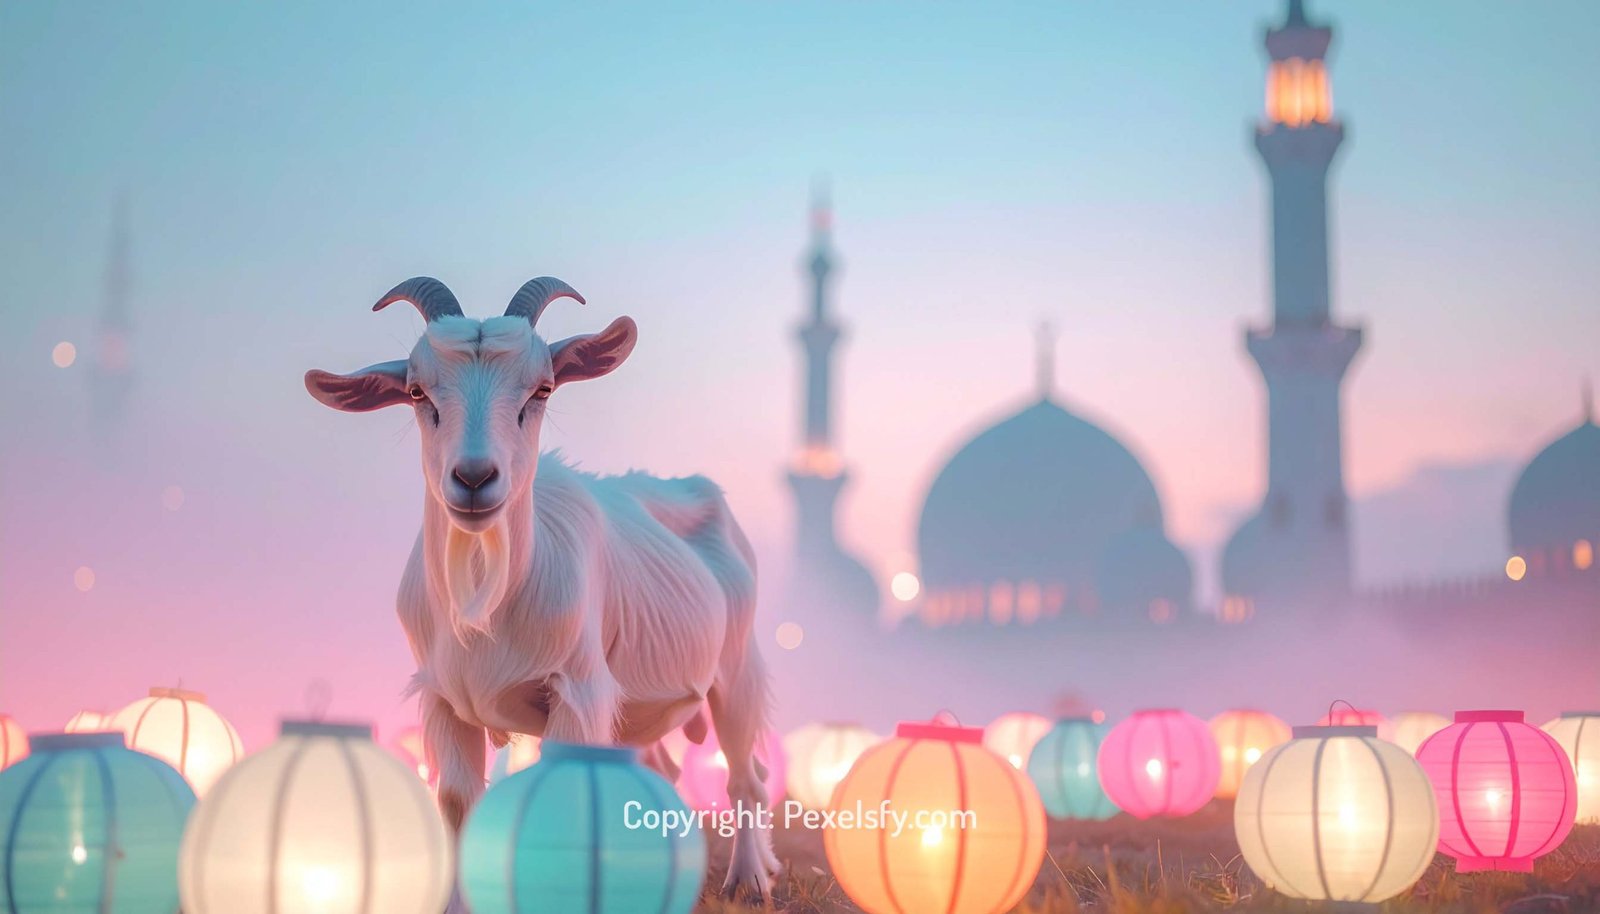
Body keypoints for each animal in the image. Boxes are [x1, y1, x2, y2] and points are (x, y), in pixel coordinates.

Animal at [305, 277, 778, 898]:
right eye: (415, 391)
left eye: (544, 388)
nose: (475, 478)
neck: (485, 603)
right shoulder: (442, 698)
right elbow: (457, 803)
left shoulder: (578, 691)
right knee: (669, 774)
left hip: (737, 670)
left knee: (747, 775)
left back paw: (749, 881)